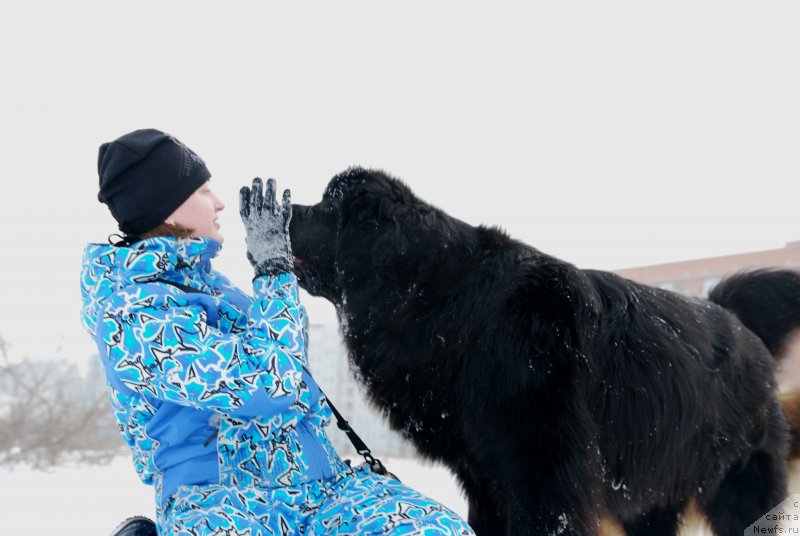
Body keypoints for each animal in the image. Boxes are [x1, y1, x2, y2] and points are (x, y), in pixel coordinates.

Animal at [290, 168, 796, 536]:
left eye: (326, 206)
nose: (284, 202)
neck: (457, 304)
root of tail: (741, 326)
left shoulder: (543, 472)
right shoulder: (485, 481)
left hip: (737, 482)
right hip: (651, 494)